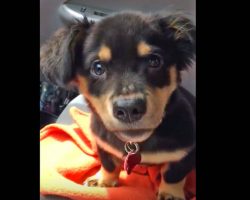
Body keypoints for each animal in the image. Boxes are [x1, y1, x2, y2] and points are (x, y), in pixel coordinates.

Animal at [40, 11, 195, 200]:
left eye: (154, 61)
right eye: (98, 67)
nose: (129, 109)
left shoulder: (186, 152)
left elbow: (173, 175)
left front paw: (170, 195)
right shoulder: (102, 143)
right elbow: (109, 164)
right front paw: (104, 181)